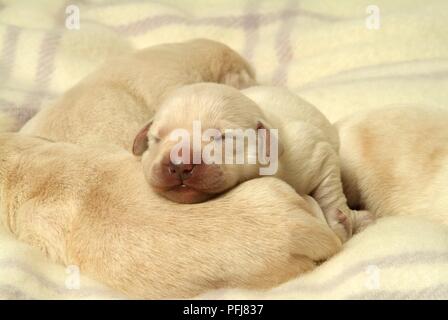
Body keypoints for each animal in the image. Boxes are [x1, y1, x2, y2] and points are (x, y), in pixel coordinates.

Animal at [131, 84, 372, 241]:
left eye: (221, 137)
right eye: (156, 138)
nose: (180, 164)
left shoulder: (311, 152)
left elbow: (329, 189)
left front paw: (340, 221)